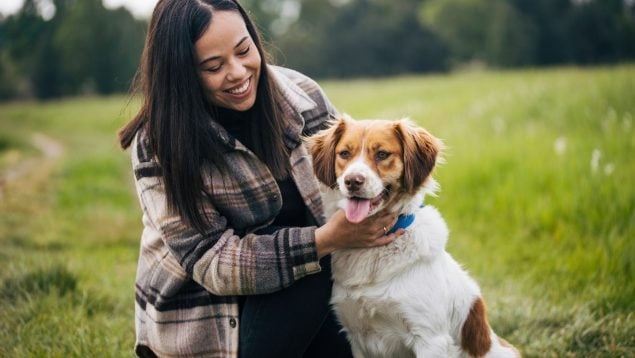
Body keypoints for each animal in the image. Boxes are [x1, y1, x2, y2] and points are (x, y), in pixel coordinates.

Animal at [308, 115, 520, 358]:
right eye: (344, 153)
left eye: (382, 154)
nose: (352, 181)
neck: (374, 254)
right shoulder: (356, 336)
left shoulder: (429, 338)